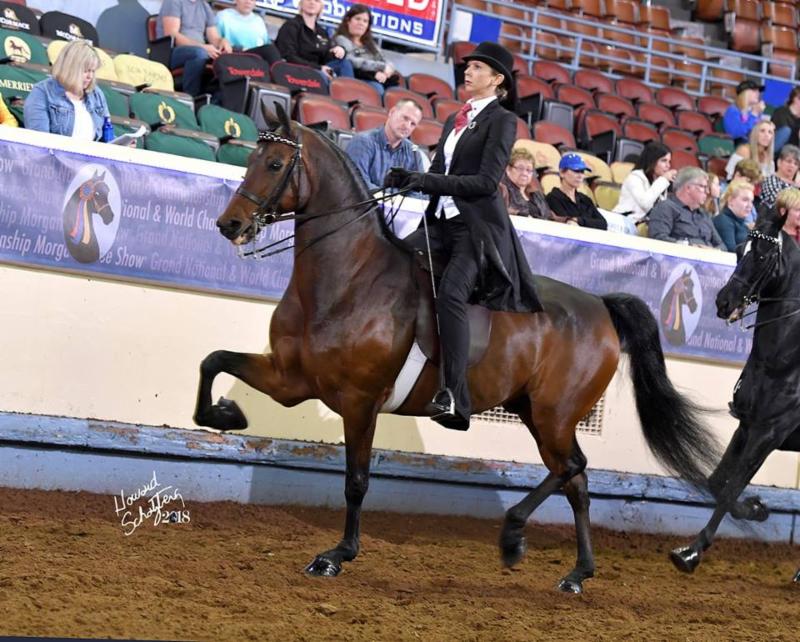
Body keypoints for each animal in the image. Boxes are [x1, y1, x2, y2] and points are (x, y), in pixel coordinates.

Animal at [194, 105, 720, 594]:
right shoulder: (291, 379)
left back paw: (514, 537)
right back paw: (577, 573)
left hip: (554, 413)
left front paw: (337, 555)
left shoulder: (360, 401)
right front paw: (226, 415)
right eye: (250, 158)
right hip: (535, 412)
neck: (347, 278)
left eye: (275, 163)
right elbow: (213, 361)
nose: (229, 224)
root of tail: (600, 305)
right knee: (576, 481)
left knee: (573, 468)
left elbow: (356, 481)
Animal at [670, 214, 800, 584]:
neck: (784, 361)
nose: (723, 302)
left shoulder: (768, 433)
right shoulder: (746, 427)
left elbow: (730, 488)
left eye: (762, 256)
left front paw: (691, 552)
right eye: (740, 249)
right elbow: (717, 482)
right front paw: (757, 509)